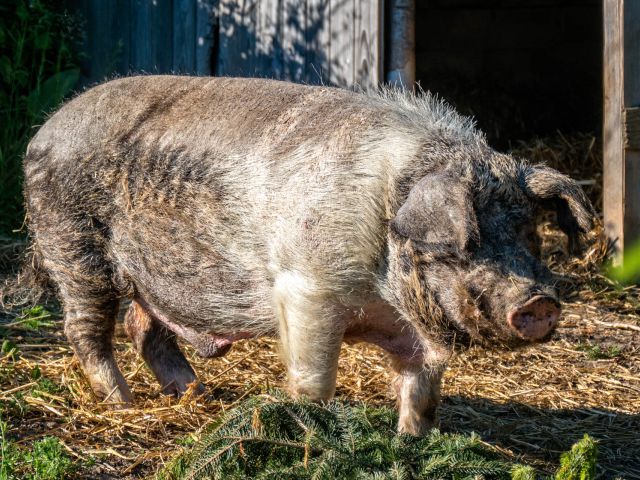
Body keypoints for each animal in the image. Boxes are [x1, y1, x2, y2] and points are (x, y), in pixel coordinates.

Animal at [22, 76, 595, 435]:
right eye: (465, 244)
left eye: (528, 234)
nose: (539, 302)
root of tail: (43, 132)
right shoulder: (306, 288)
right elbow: (315, 379)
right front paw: (304, 423)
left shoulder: (413, 331)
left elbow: (422, 389)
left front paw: (411, 441)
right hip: (73, 249)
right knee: (86, 330)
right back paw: (124, 403)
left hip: (149, 276)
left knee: (143, 327)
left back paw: (196, 396)